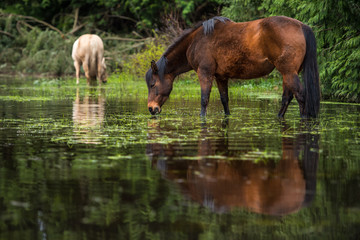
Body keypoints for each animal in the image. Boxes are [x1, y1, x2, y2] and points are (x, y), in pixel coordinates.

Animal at [146, 15, 320, 118]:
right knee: (287, 98)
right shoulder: (221, 77)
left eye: (153, 84)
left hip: (289, 72)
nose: (151, 108)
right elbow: (225, 100)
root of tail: (302, 26)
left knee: (301, 95)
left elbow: (204, 100)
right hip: (289, 73)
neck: (196, 41)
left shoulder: (205, 73)